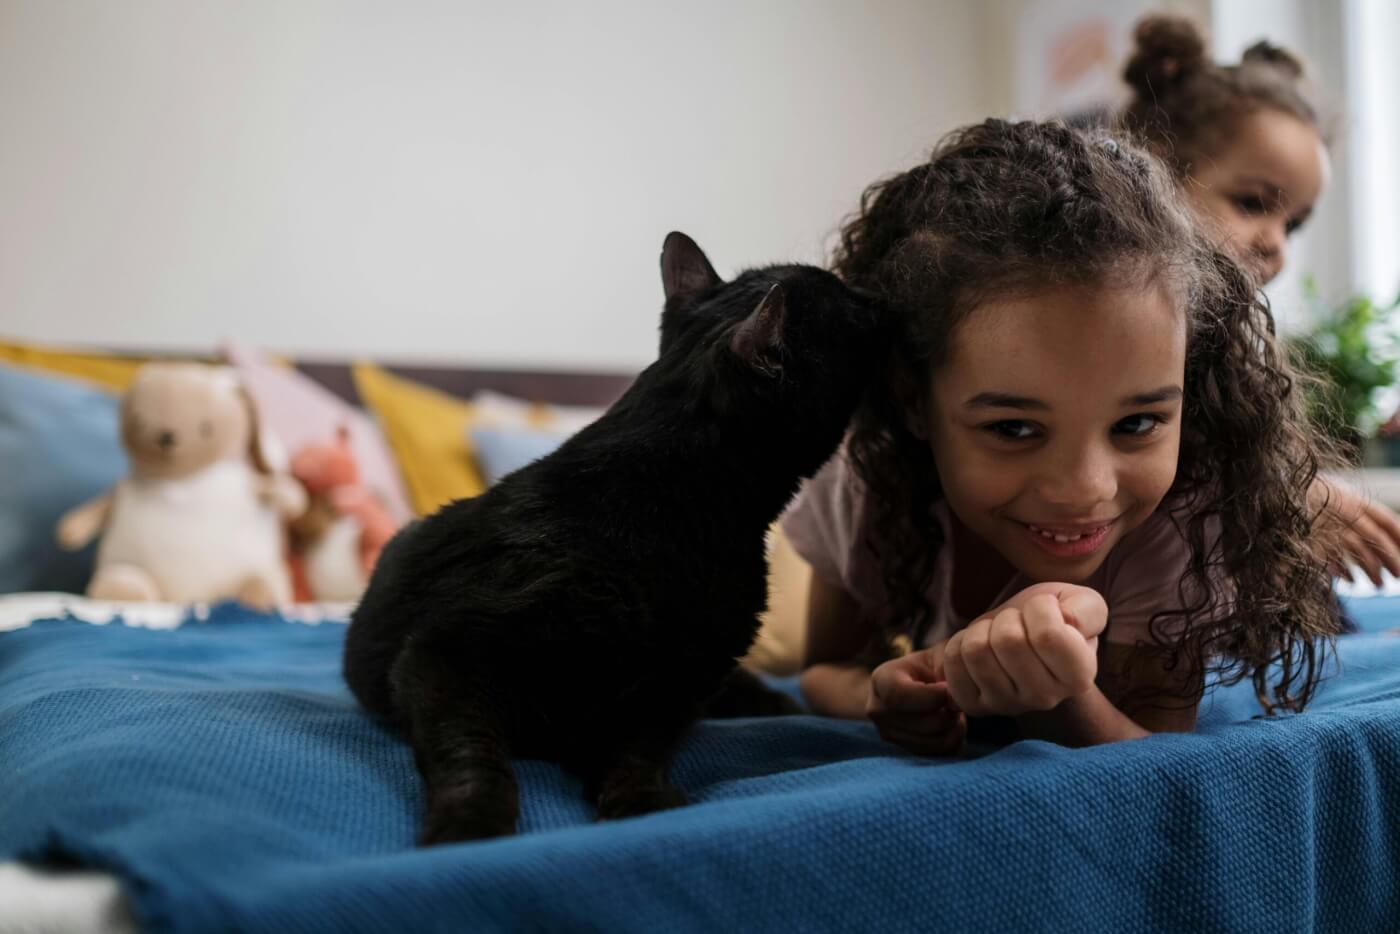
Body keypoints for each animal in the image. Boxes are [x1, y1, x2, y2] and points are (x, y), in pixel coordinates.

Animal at [343, 229, 879, 845]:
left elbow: (638, 750)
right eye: (845, 304)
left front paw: (638, 802)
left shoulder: (675, 686)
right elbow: (472, 754)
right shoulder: (443, 656)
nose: (871, 297)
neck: (661, 504)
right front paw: (467, 826)